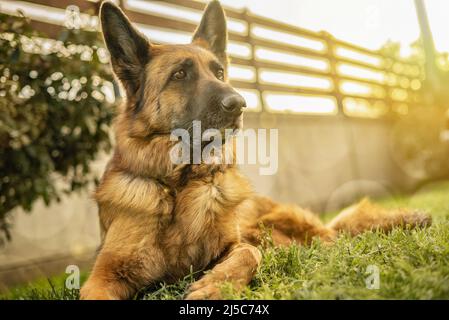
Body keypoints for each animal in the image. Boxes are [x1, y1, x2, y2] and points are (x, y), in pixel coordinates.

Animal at [79, 0, 430, 300]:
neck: (181, 186)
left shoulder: (235, 244)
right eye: (179, 74)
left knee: (331, 238)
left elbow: (249, 252)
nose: (238, 103)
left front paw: (215, 286)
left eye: (220, 72)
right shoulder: (102, 275)